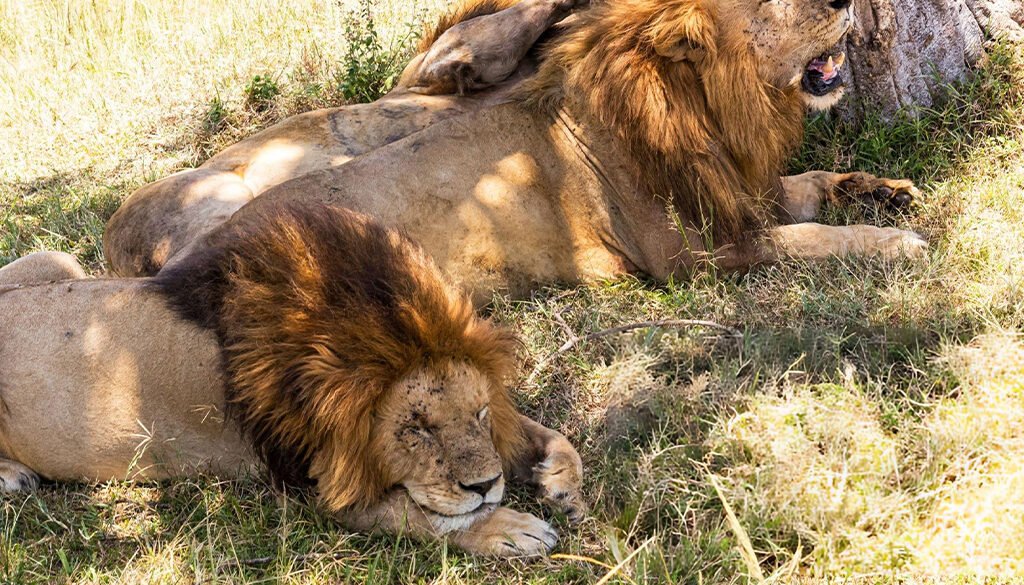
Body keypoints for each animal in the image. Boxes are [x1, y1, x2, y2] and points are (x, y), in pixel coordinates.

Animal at [0, 201, 585, 557]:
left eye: (480, 414)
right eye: (416, 429)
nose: (485, 486)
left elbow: (544, 433)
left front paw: (560, 480)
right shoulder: (307, 481)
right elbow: (425, 517)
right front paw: (508, 528)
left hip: (57, 260)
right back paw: (13, 476)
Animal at [104, 0, 925, 295]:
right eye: (773, 2)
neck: (714, 110)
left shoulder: (739, 186)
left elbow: (811, 185)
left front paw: (883, 192)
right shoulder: (689, 254)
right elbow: (804, 240)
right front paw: (896, 244)